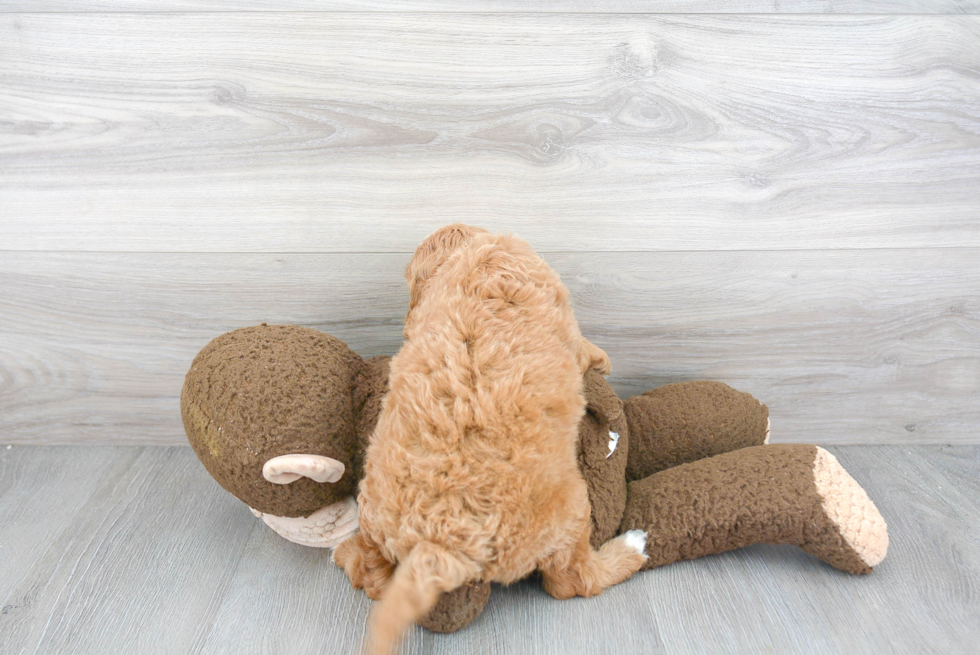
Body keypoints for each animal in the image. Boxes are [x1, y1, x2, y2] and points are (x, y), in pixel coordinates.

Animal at [334, 226, 648, 655]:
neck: (477, 254)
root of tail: (438, 543)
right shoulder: (563, 313)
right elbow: (582, 346)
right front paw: (600, 356)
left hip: (372, 510)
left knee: (371, 575)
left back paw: (346, 553)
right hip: (570, 510)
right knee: (572, 581)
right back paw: (630, 549)